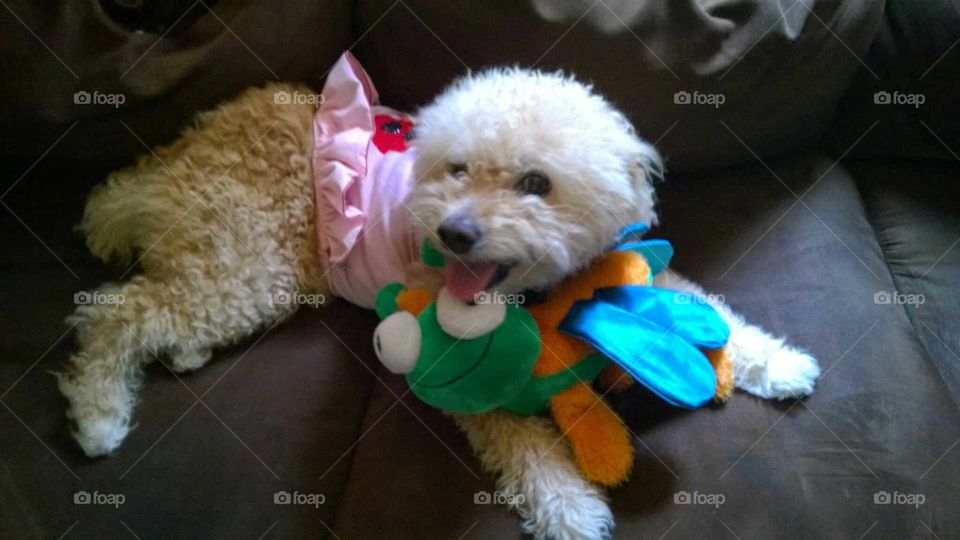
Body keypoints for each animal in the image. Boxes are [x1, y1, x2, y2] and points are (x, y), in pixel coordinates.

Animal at [60, 64, 816, 540]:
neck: (535, 297)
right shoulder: (456, 373)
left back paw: (179, 356)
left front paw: (780, 365)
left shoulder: (629, 272)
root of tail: (172, 157)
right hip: (244, 263)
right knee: (115, 312)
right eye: (455, 169)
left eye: (536, 183)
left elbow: (717, 316)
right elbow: (524, 446)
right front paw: (571, 508)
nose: (454, 233)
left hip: (242, 270)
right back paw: (99, 416)